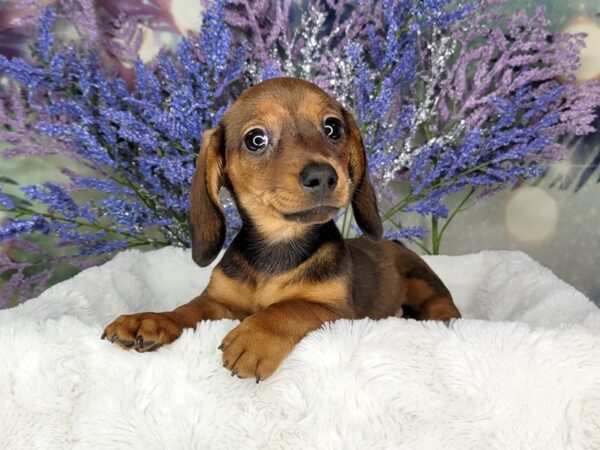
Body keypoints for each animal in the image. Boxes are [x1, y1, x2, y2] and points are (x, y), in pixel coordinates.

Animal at [102, 76, 460, 380]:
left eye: (332, 128)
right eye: (256, 139)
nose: (323, 175)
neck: (279, 245)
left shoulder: (336, 311)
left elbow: (290, 307)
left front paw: (257, 334)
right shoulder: (219, 302)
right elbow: (189, 308)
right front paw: (151, 318)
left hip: (421, 279)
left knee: (443, 304)